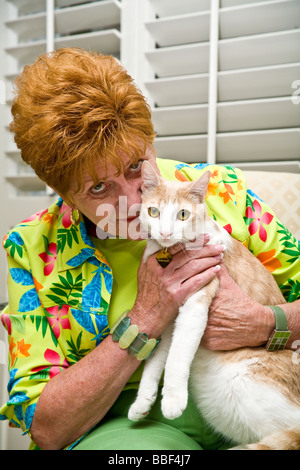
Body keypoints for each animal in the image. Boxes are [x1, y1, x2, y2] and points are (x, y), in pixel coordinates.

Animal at [128, 162, 300, 452]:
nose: (165, 233)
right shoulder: (168, 316)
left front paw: (172, 400)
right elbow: (156, 360)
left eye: (183, 215)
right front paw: (143, 401)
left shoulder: (195, 305)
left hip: (244, 384)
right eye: (154, 212)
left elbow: (177, 356)